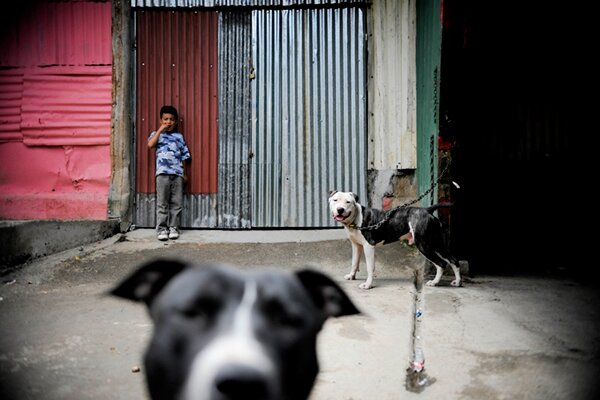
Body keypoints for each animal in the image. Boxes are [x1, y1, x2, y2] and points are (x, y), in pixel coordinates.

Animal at [328, 191, 460, 290]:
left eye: (348, 202)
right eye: (335, 200)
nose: (340, 209)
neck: (356, 219)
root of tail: (427, 210)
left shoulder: (368, 246)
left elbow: (370, 267)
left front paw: (368, 284)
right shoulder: (356, 245)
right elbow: (354, 262)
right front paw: (351, 276)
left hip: (424, 244)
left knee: (441, 263)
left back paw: (435, 282)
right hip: (437, 243)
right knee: (453, 260)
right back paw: (457, 282)